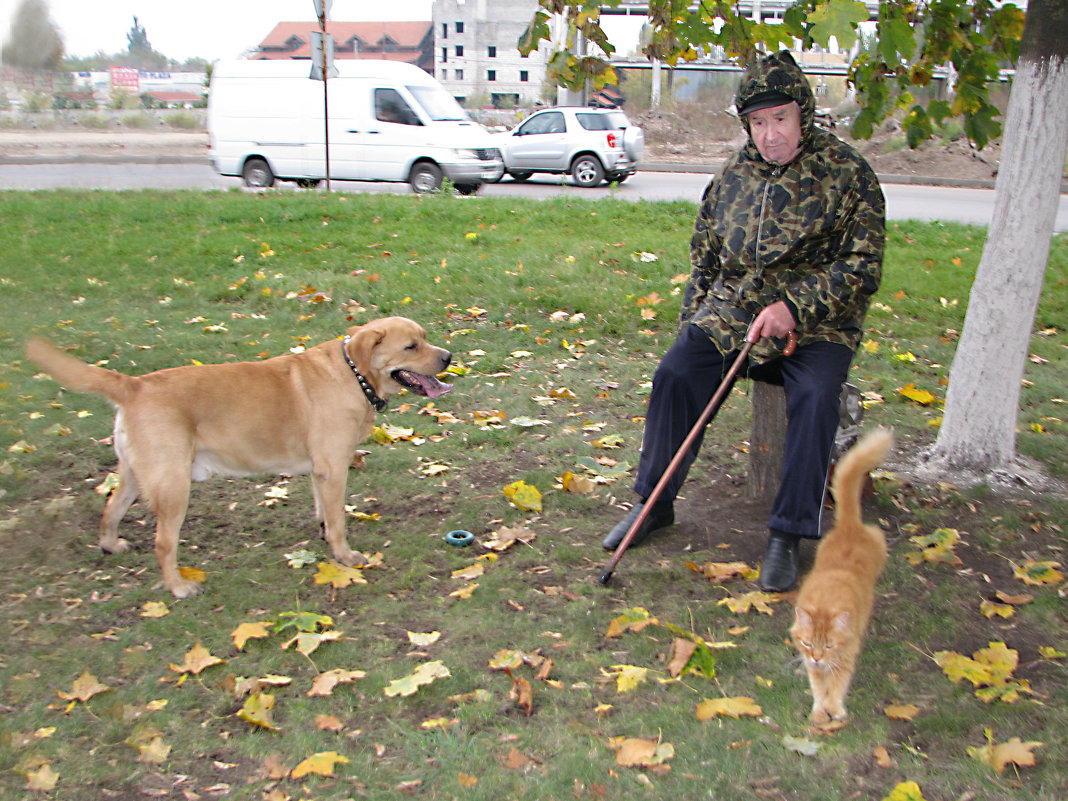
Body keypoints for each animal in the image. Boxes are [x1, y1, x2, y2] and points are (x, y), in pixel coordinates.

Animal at [25, 316, 450, 598]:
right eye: (411, 346)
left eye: (425, 338)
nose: (448, 356)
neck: (353, 375)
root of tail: (133, 385)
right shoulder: (333, 467)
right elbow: (338, 521)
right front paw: (344, 555)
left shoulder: (319, 471)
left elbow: (324, 515)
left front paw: (325, 537)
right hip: (173, 485)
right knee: (164, 543)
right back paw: (178, 587)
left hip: (134, 474)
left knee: (110, 510)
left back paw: (111, 546)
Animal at [790, 433, 897, 726]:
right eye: (808, 644)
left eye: (828, 645)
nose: (816, 658)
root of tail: (849, 525)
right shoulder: (812, 665)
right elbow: (819, 687)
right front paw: (819, 711)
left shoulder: (846, 655)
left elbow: (836, 685)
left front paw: (834, 708)